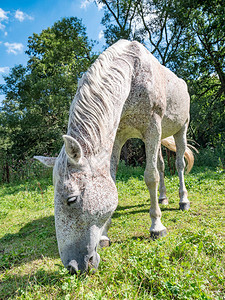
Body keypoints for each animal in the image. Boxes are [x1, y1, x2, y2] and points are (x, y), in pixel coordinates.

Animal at [35, 39, 195, 274]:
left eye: (71, 199)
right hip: (157, 140)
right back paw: (163, 198)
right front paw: (104, 235)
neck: (132, 74)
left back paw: (183, 201)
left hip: (180, 129)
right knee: (162, 165)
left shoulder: (152, 127)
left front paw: (157, 226)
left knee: (179, 164)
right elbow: (113, 176)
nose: (73, 266)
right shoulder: (119, 135)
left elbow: (150, 177)